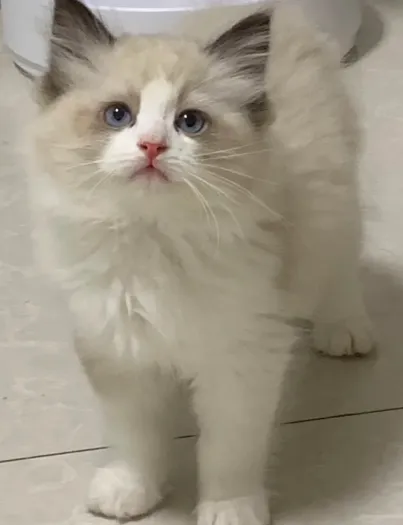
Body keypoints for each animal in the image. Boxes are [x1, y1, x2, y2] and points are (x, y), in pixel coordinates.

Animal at [28, 0, 373, 523]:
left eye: (190, 123)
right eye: (118, 115)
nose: (152, 146)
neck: (154, 243)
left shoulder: (242, 358)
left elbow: (228, 450)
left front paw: (229, 509)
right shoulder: (120, 351)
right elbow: (135, 438)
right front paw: (131, 492)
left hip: (336, 203)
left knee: (342, 268)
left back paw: (346, 332)